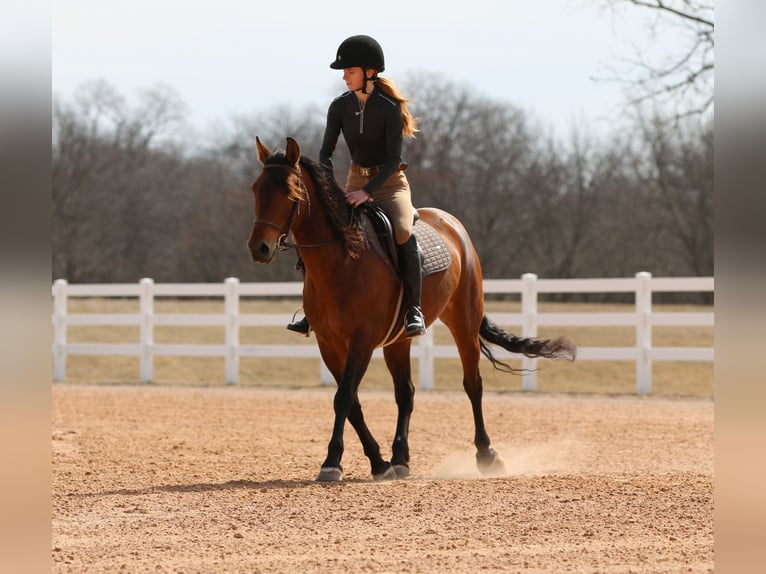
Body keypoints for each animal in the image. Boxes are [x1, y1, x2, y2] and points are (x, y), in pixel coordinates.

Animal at [248, 137, 576, 484]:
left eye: (288, 190)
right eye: (256, 189)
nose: (259, 248)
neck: (343, 261)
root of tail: (452, 224)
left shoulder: (362, 342)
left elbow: (344, 397)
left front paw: (332, 462)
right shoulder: (329, 345)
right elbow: (353, 404)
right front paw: (378, 463)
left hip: (464, 323)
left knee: (472, 384)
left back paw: (487, 455)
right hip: (399, 341)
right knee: (405, 393)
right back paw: (399, 459)